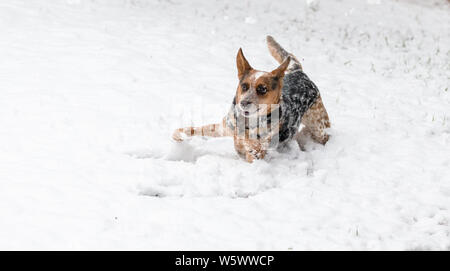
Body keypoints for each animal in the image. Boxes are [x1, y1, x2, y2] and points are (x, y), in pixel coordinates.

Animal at [172, 36, 330, 164]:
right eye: (244, 86)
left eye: (263, 89)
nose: (243, 103)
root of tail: (299, 72)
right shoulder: (223, 128)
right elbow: (192, 129)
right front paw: (178, 136)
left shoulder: (256, 154)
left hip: (318, 126)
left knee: (323, 135)